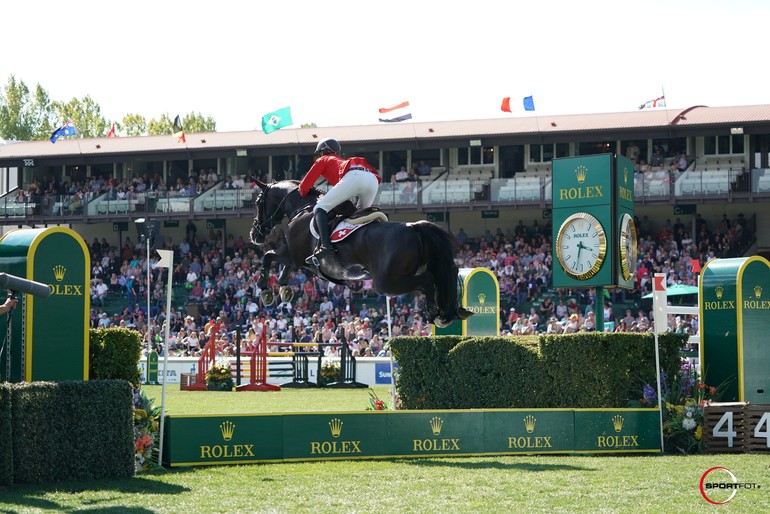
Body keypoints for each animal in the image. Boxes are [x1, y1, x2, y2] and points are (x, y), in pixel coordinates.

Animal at [249, 178, 472, 326]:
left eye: (258, 202)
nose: (255, 233)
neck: (302, 208)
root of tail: (413, 226)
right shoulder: (296, 257)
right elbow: (277, 259)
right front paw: (284, 288)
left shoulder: (296, 257)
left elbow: (269, 256)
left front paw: (265, 289)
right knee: (447, 274)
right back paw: (453, 311)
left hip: (387, 282)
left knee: (428, 280)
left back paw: (435, 313)